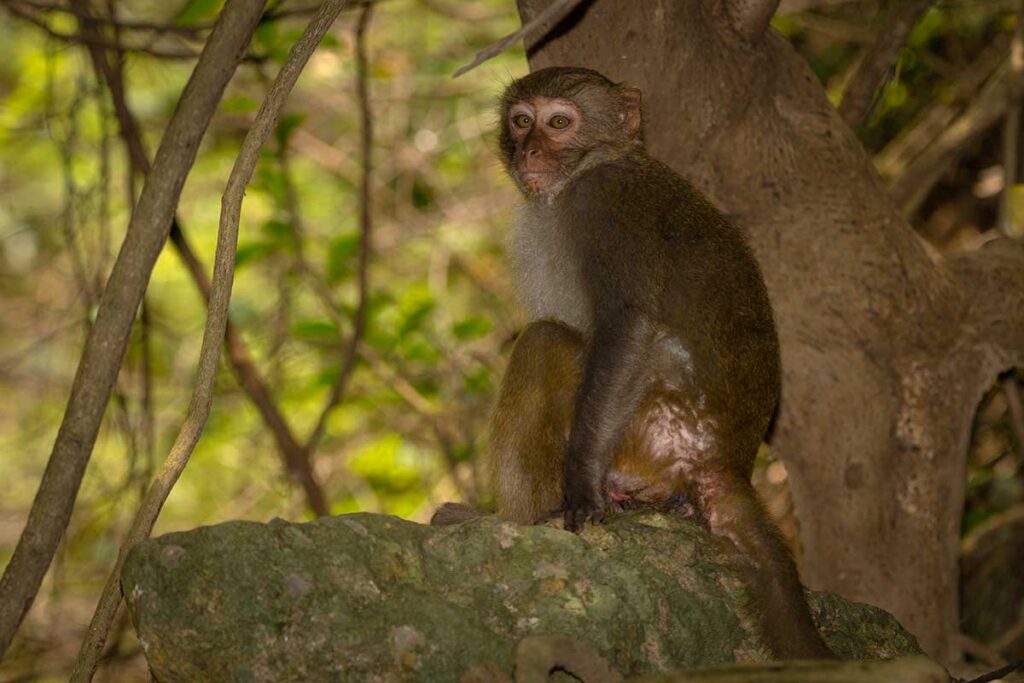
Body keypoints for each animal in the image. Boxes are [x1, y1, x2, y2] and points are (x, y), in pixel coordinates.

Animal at [433, 66, 833, 661]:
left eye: (559, 123)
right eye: (522, 121)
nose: (530, 150)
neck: (592, 164)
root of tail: (725, 464)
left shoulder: (604, 207)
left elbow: (628, 326)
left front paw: (578, 491)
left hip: (648, 433)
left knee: (544, 342)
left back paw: (512, 521)